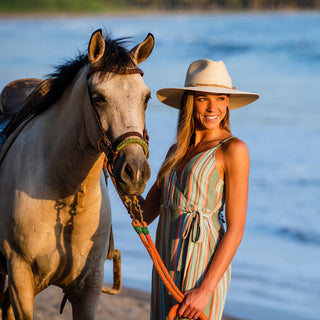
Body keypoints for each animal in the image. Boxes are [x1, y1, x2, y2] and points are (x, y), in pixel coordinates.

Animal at [0, 28, 154, 318]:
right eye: (99, 98)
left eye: (146, 98)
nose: (136, 172)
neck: (63, 191)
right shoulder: (20, 278)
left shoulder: (89, 288)